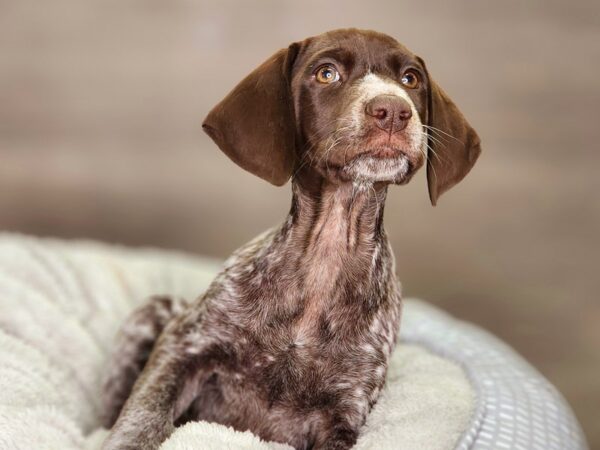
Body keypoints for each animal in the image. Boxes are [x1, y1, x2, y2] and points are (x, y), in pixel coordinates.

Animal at [101, 28, 480, 450]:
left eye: (410, 79)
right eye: (326, 73)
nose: (394, 111)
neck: (327, 252)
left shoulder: (345, 412)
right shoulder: (184, 344)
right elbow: (143, 417)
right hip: (154, 310)